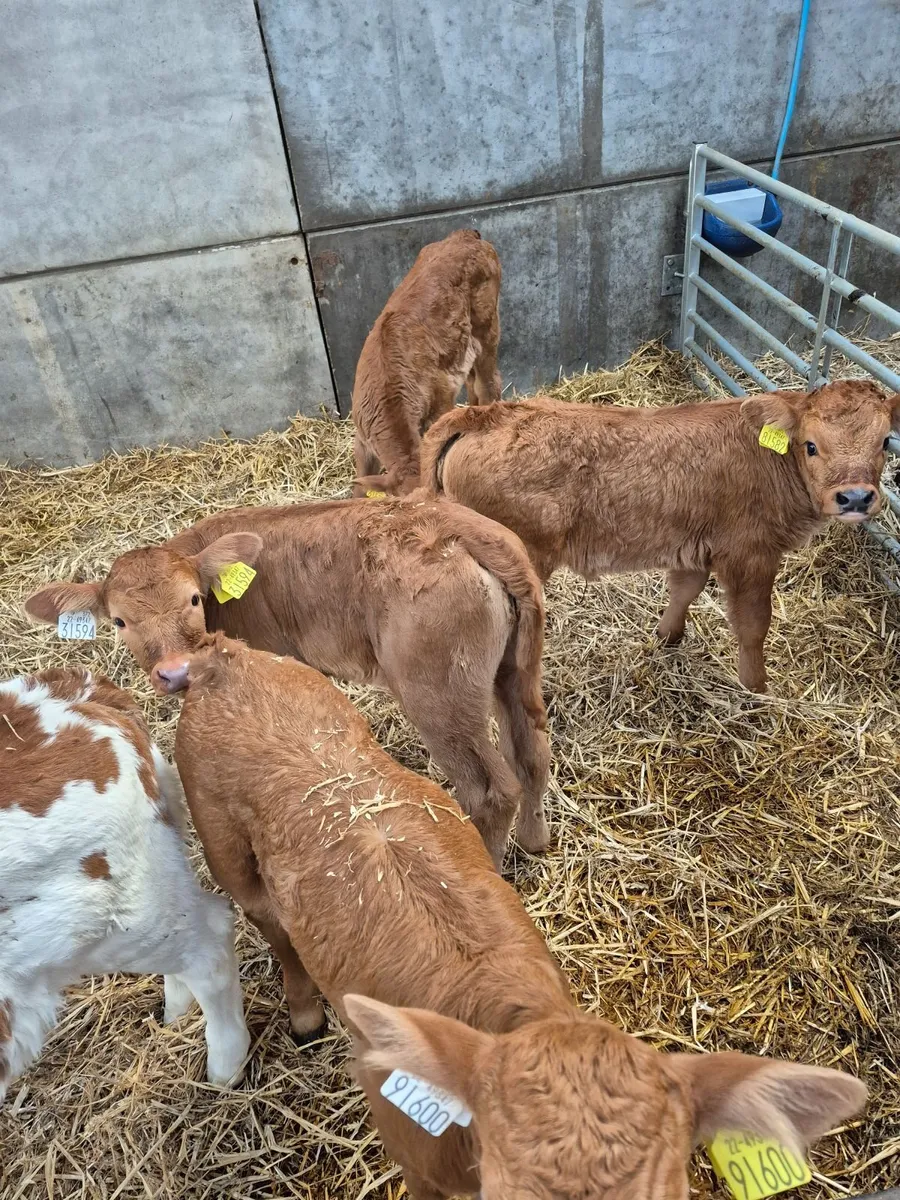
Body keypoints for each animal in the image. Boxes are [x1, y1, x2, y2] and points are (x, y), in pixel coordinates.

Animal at [24, 495, 550, 867]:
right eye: (119, 621)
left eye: (193, 599)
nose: (174, 670)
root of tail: (460, 528)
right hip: (514, 673)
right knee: (531, 752)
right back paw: (535, 841)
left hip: (438, 694)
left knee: (490, 789)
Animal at [351, 229, 502, 497]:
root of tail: (466, 235)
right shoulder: (361, 437)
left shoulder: (440, 405)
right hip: (465, 348)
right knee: (473, 383)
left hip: (488, 328)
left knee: (489, 384)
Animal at [421, 379, 900, 692]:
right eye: (811, 445)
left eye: (884, 442)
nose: (856, 497)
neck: (769, 461)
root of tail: (485, 414)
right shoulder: (750, 553)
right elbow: (753, 625)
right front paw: (757, 687)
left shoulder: (693, 544)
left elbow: (684, 589)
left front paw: (666, 636)